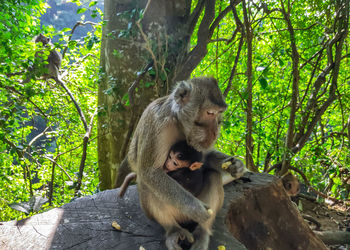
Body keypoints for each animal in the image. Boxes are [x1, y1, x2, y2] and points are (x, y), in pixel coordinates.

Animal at [124, 77, 245, 249]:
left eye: (219, 113)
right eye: (210, 113)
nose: (216, 131)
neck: (178, 123)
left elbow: (205, 158)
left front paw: (236, 165)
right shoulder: (157, 124)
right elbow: (150, 171)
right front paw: (195, 209)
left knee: (213, 176)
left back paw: (202, 233)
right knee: (146, 182)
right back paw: (173, 230)